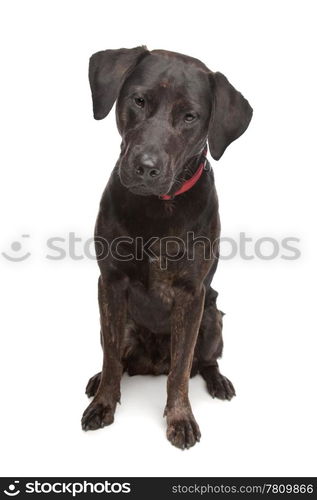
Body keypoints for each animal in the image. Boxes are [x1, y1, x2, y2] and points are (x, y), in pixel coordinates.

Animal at [81, 47, 252, 450]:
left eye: (190, 116)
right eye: (139, 100)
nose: (146, 167)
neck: (157, 208)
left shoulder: (191, 295)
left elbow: (180, 371)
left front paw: (180, 418)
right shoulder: (110, 283)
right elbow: (111, 358)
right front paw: (104, 403)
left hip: (212, 319)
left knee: (202, 362)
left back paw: (218, 381)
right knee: (118, 358)